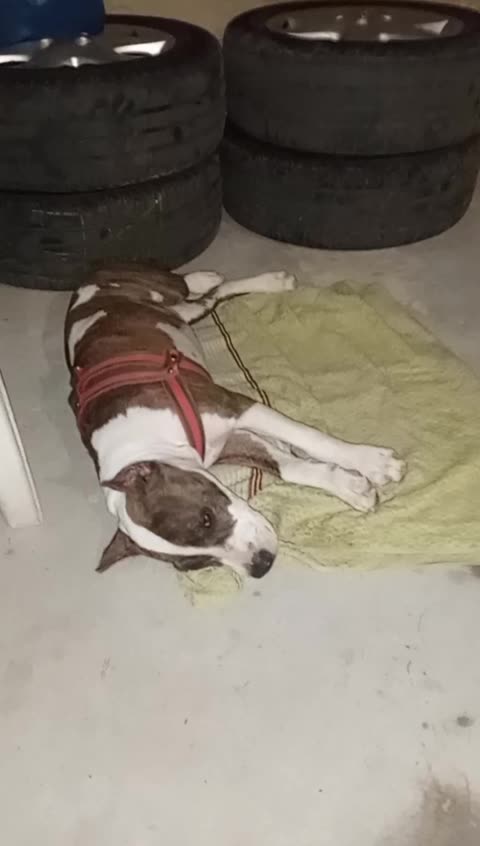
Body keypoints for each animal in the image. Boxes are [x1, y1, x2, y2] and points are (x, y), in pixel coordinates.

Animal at [65, 262, 406, 579]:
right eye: (199, 563)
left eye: (205, 518)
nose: (261, 566)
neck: (141, 441)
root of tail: (87, 280)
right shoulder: (229, 442)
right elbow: (291, 468)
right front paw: (350, 487)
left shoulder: (234, 405)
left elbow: (310, 437)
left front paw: (374, 462)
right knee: (207, 297)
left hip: (170, 298)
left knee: (206, 293)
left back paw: (256, 280)